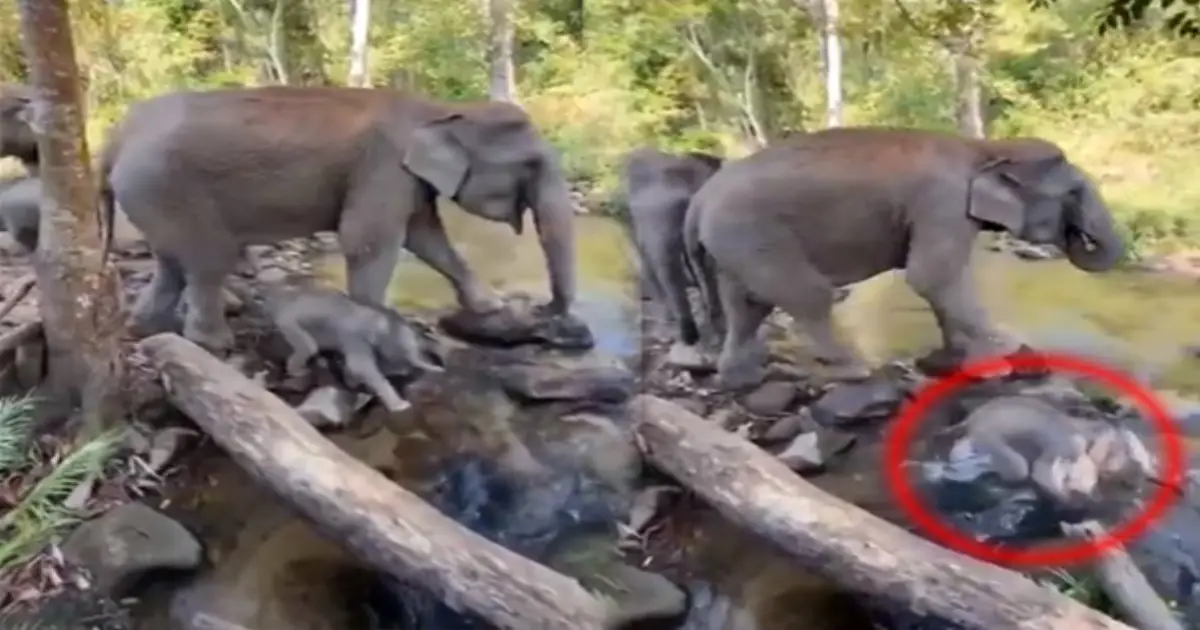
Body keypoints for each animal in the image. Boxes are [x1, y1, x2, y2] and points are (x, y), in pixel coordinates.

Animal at [5, 85, 580, 354]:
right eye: (531, 166)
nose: (551, 316)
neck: (441, 109)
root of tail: (114, 137)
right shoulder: (381, 168)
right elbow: (368, 241)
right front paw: (378, 326)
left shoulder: (404, 179)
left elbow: (426, 237)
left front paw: (491, 306)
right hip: (167, 186)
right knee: (209, 259)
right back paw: (214, 345)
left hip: (148, 193)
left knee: (173, 263)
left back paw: (151, 328)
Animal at [263, 284, 445, 415]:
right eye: (407, 347)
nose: (440, 368)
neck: (383, 318)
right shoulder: (356, 337)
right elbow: (361, 366)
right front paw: (402, 406)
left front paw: (352, 382)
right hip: (289, 321)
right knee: (309, 347)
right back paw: (298, 371)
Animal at [683, 127, 1125, 389]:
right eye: (1072, 193)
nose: (1081, 236)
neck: (986, 148)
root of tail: (699, 199)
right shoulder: (942, 203)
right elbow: (932, 277)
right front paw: (1015, 350)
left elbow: (942, 282)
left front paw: (947, 362)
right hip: (752, 234)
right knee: (808, 296)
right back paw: (853, 368)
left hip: (734, 245)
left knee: (746, 305)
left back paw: (740, 377)